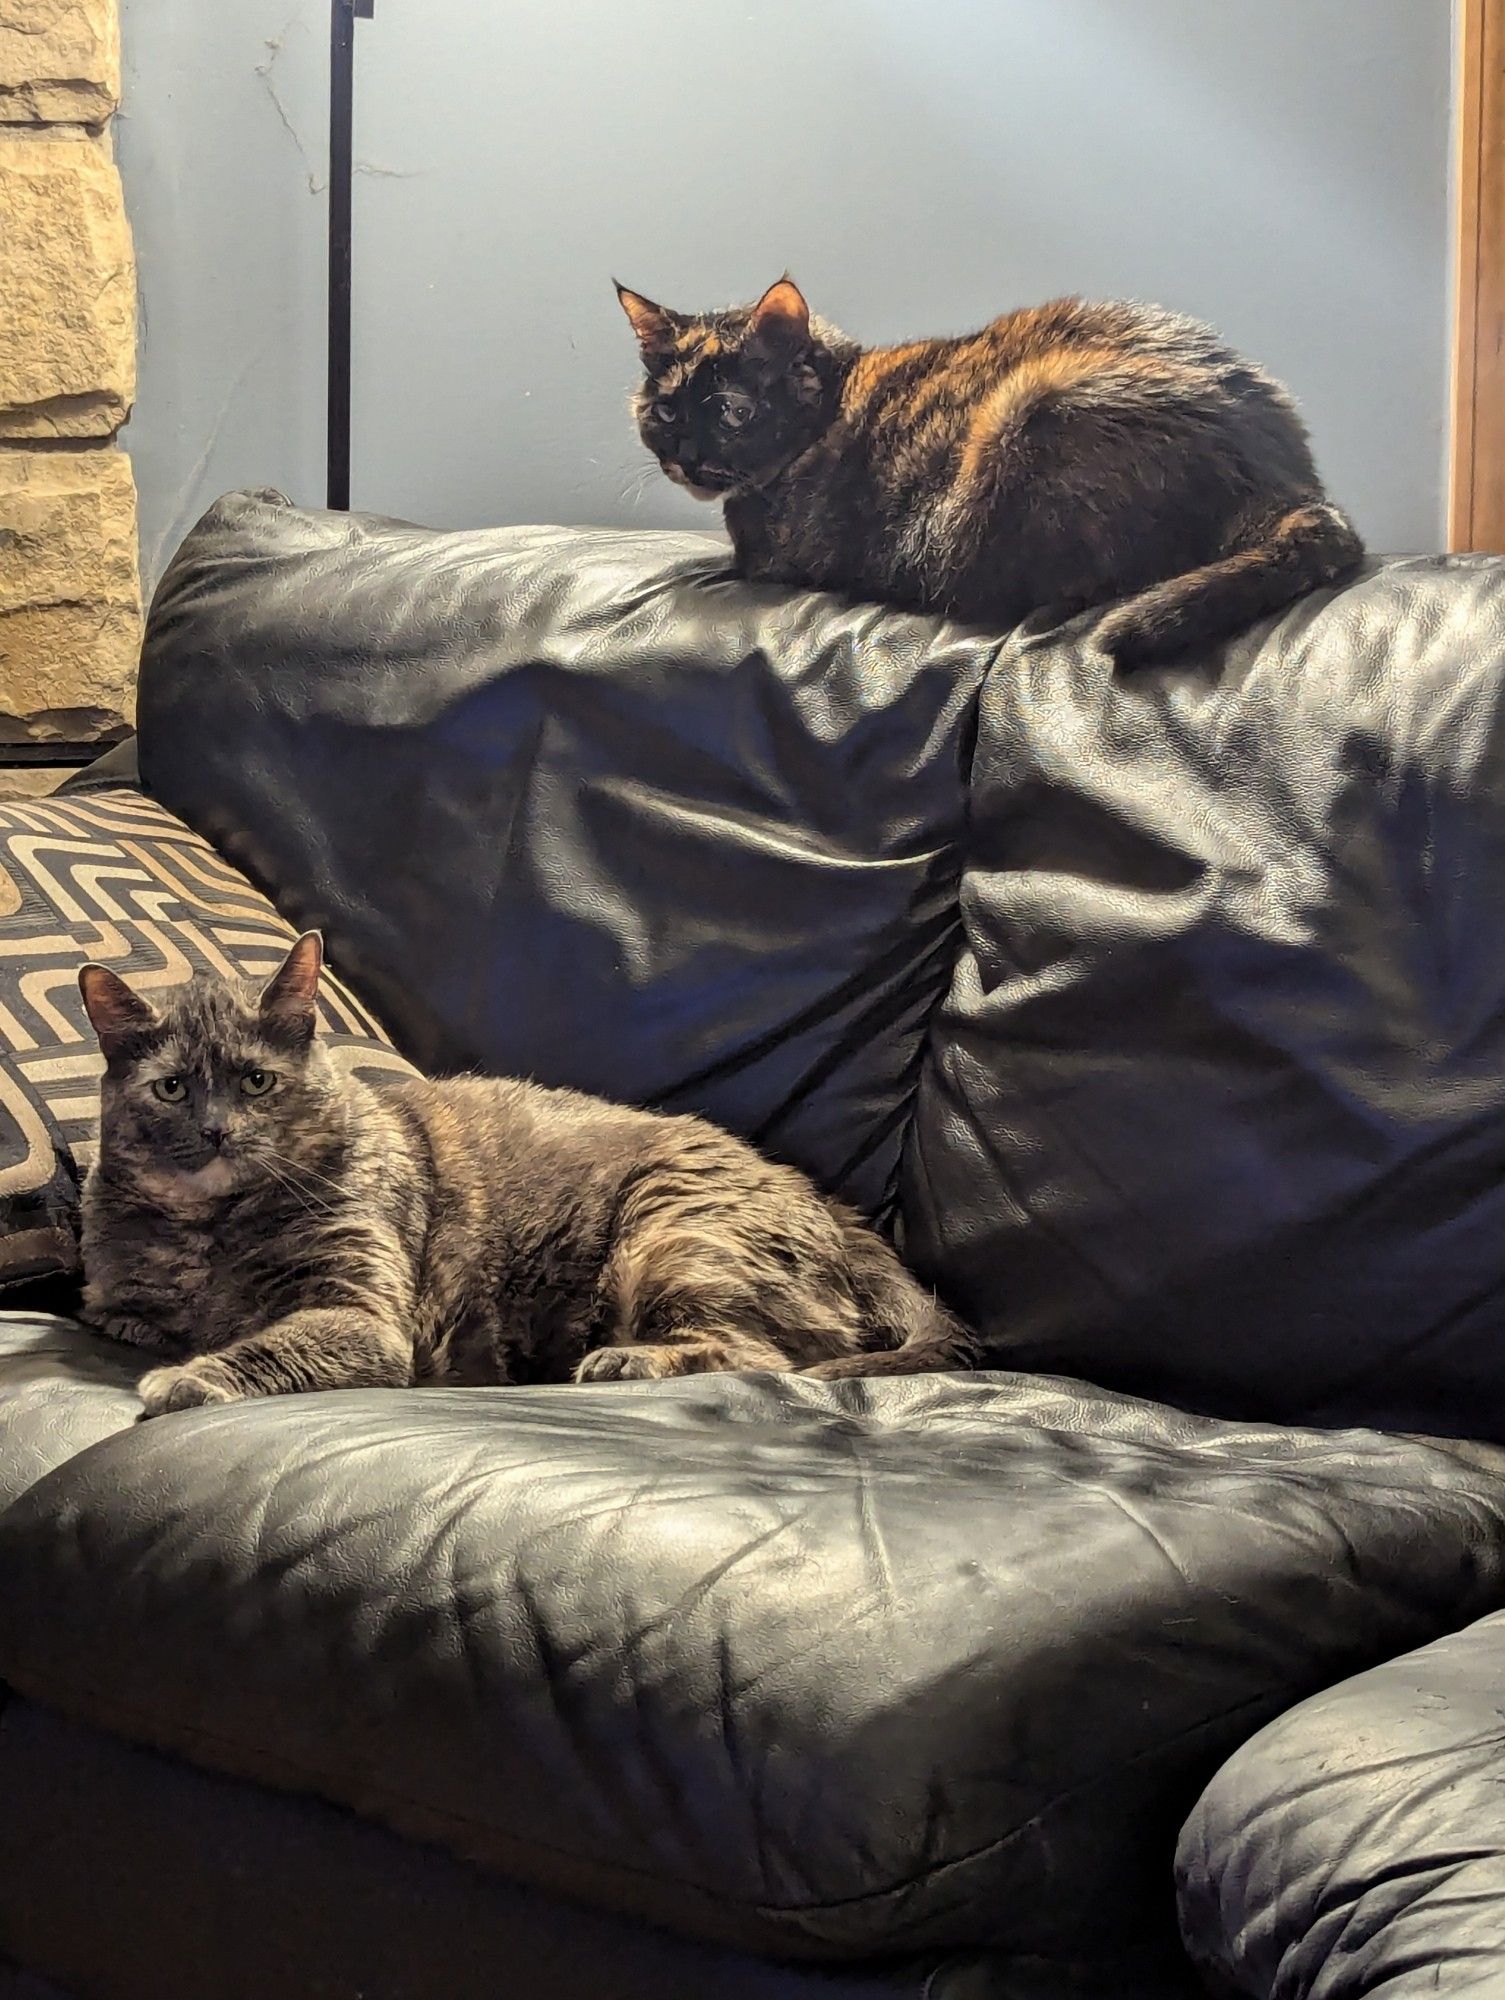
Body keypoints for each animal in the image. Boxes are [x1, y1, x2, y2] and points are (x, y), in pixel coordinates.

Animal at [73, 940, 976, 1424]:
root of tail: (834, 1208)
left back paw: (622, 1363)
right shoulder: (117, 1308)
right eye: (172, 1088)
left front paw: (188, 1375)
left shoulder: (359, 1315)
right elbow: (134, 1319)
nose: (216, 1129)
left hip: (675, 1233)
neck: (211, 1232)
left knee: (765, 1357)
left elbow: (272, 1343)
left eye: (256, 1082)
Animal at [616, 278, 1368, 668]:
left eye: (731, 411)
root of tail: (1287, 481)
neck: (828, 408)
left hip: (1030, 411)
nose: (684, 457)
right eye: (664, 409)